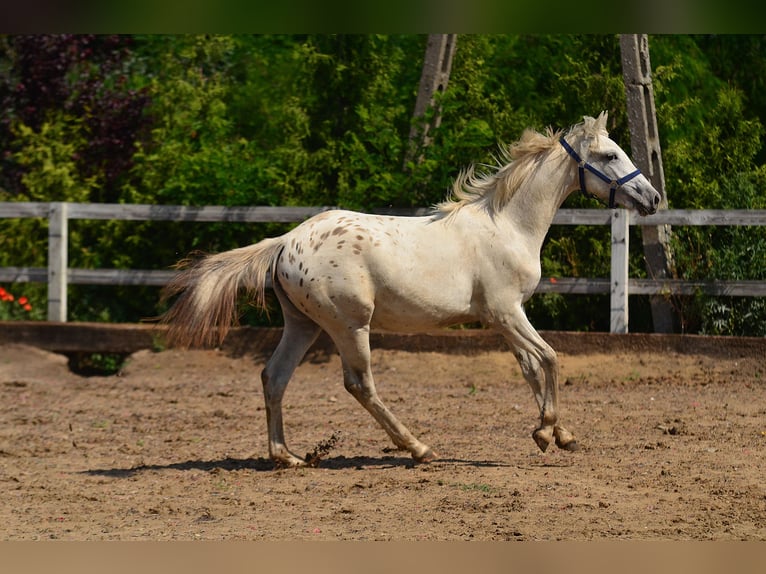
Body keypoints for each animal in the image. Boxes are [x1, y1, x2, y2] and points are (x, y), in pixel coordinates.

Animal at [160, 111, 660, 468]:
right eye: (610, 156)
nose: (653, 199)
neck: (507, 225)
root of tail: (285, 241)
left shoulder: (505, 317)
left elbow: (531, 369)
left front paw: (559, 435)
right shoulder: (505, 312)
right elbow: (551, 358)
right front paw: (546, 432)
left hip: (302, 324)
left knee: (274, 376)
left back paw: (287, 457)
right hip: (349, 325)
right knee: (359, 384)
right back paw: (419, 448)